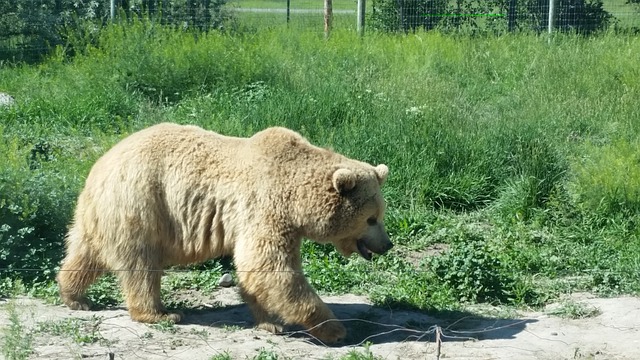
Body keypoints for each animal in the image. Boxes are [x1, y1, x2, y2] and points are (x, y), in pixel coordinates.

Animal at [56, 123, 396, 344]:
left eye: (380, 215)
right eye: (371, 219)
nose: (387, 244)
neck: (296, 196)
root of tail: (100, 164)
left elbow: (256, 271)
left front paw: (270, 322)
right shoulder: (265, 206)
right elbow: (271, 268)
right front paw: (334, 329)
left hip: (102, 213)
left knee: (84, 253)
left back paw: (75, 296)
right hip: (142, 204)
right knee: (141, 265)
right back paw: (160, 314)